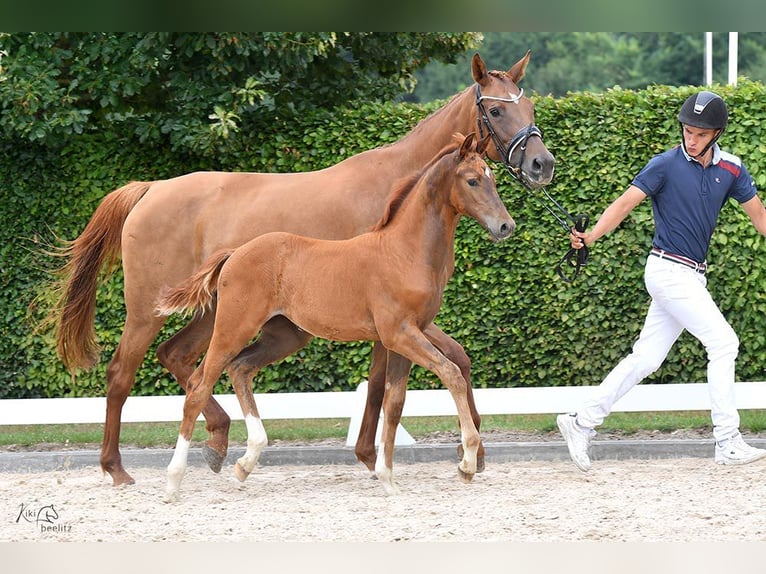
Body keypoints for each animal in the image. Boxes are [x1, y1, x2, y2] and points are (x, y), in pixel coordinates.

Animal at [156, 133, 514, 500]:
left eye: (493, 179)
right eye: (472, 180)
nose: (506, 226)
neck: (403, 252)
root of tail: (234, 254)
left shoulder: (406, 337)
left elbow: (395, 403)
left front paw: (387, 477)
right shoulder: (400, 333)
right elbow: (451, 373)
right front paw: (467, 462)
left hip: (284, 335)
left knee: (240, 368)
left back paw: (246, 461)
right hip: (233, 327)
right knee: (199, 386)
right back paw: (174, 481)